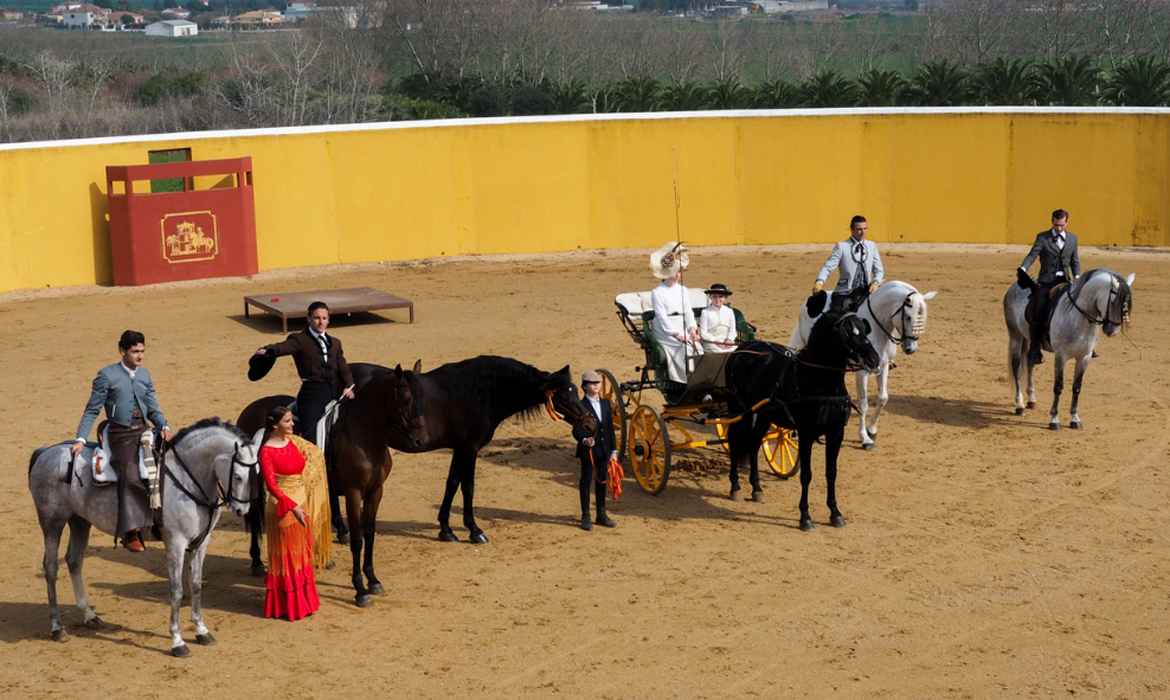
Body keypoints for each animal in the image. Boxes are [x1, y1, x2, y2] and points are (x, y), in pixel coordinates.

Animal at [29, 416, 258, 660]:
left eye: (258, 474)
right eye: (238, 476)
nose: (241, 510)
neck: (186, 479)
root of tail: (46, 452)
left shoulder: (201, 542)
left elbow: (196, 585)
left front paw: (202, 631)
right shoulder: (176, 543)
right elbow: (177, 591)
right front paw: (177, 641)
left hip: (80, 522)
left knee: (74, 561)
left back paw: (89, 616)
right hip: (52, 523)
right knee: (51, 568)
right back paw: (57, 627)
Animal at [720, 311, 879, 531]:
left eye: (864, 329)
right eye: (847, 332)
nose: (874, 358)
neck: (822, 383)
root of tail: (741, 349)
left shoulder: (836, 433)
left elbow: (831, 473)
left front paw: (835, 513)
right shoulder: (806, 434)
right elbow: (806, 475)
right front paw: (805, 517)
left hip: (764, 415)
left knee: (753, 444)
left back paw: (757, 488)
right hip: (738, 408)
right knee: (736, 442)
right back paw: (735, 487)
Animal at [790, 279, 935, 449]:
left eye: (923, 317)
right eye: (907, 317)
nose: (911, 349)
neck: (878, 326)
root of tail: (811, 300)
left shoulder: (883, 366)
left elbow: (883, 398)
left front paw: (872, 430)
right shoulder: (862, 371)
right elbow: (863, 404)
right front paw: (865, 438)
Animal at [1006, 269, 1132, 430]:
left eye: (1126, 303)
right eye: (1113, 302)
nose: (1113, 331)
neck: (1079, 318)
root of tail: (1014, 287)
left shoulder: (1084, 358)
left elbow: (1077, 387)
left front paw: (1075, 419)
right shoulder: (1061, 356)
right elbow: (1058, 387)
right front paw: (1054, 420)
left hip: (1029, 339)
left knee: (1030, 362)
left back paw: (1032, 400)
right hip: (1015, 336)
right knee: (1017, 367)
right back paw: (1019, 404)